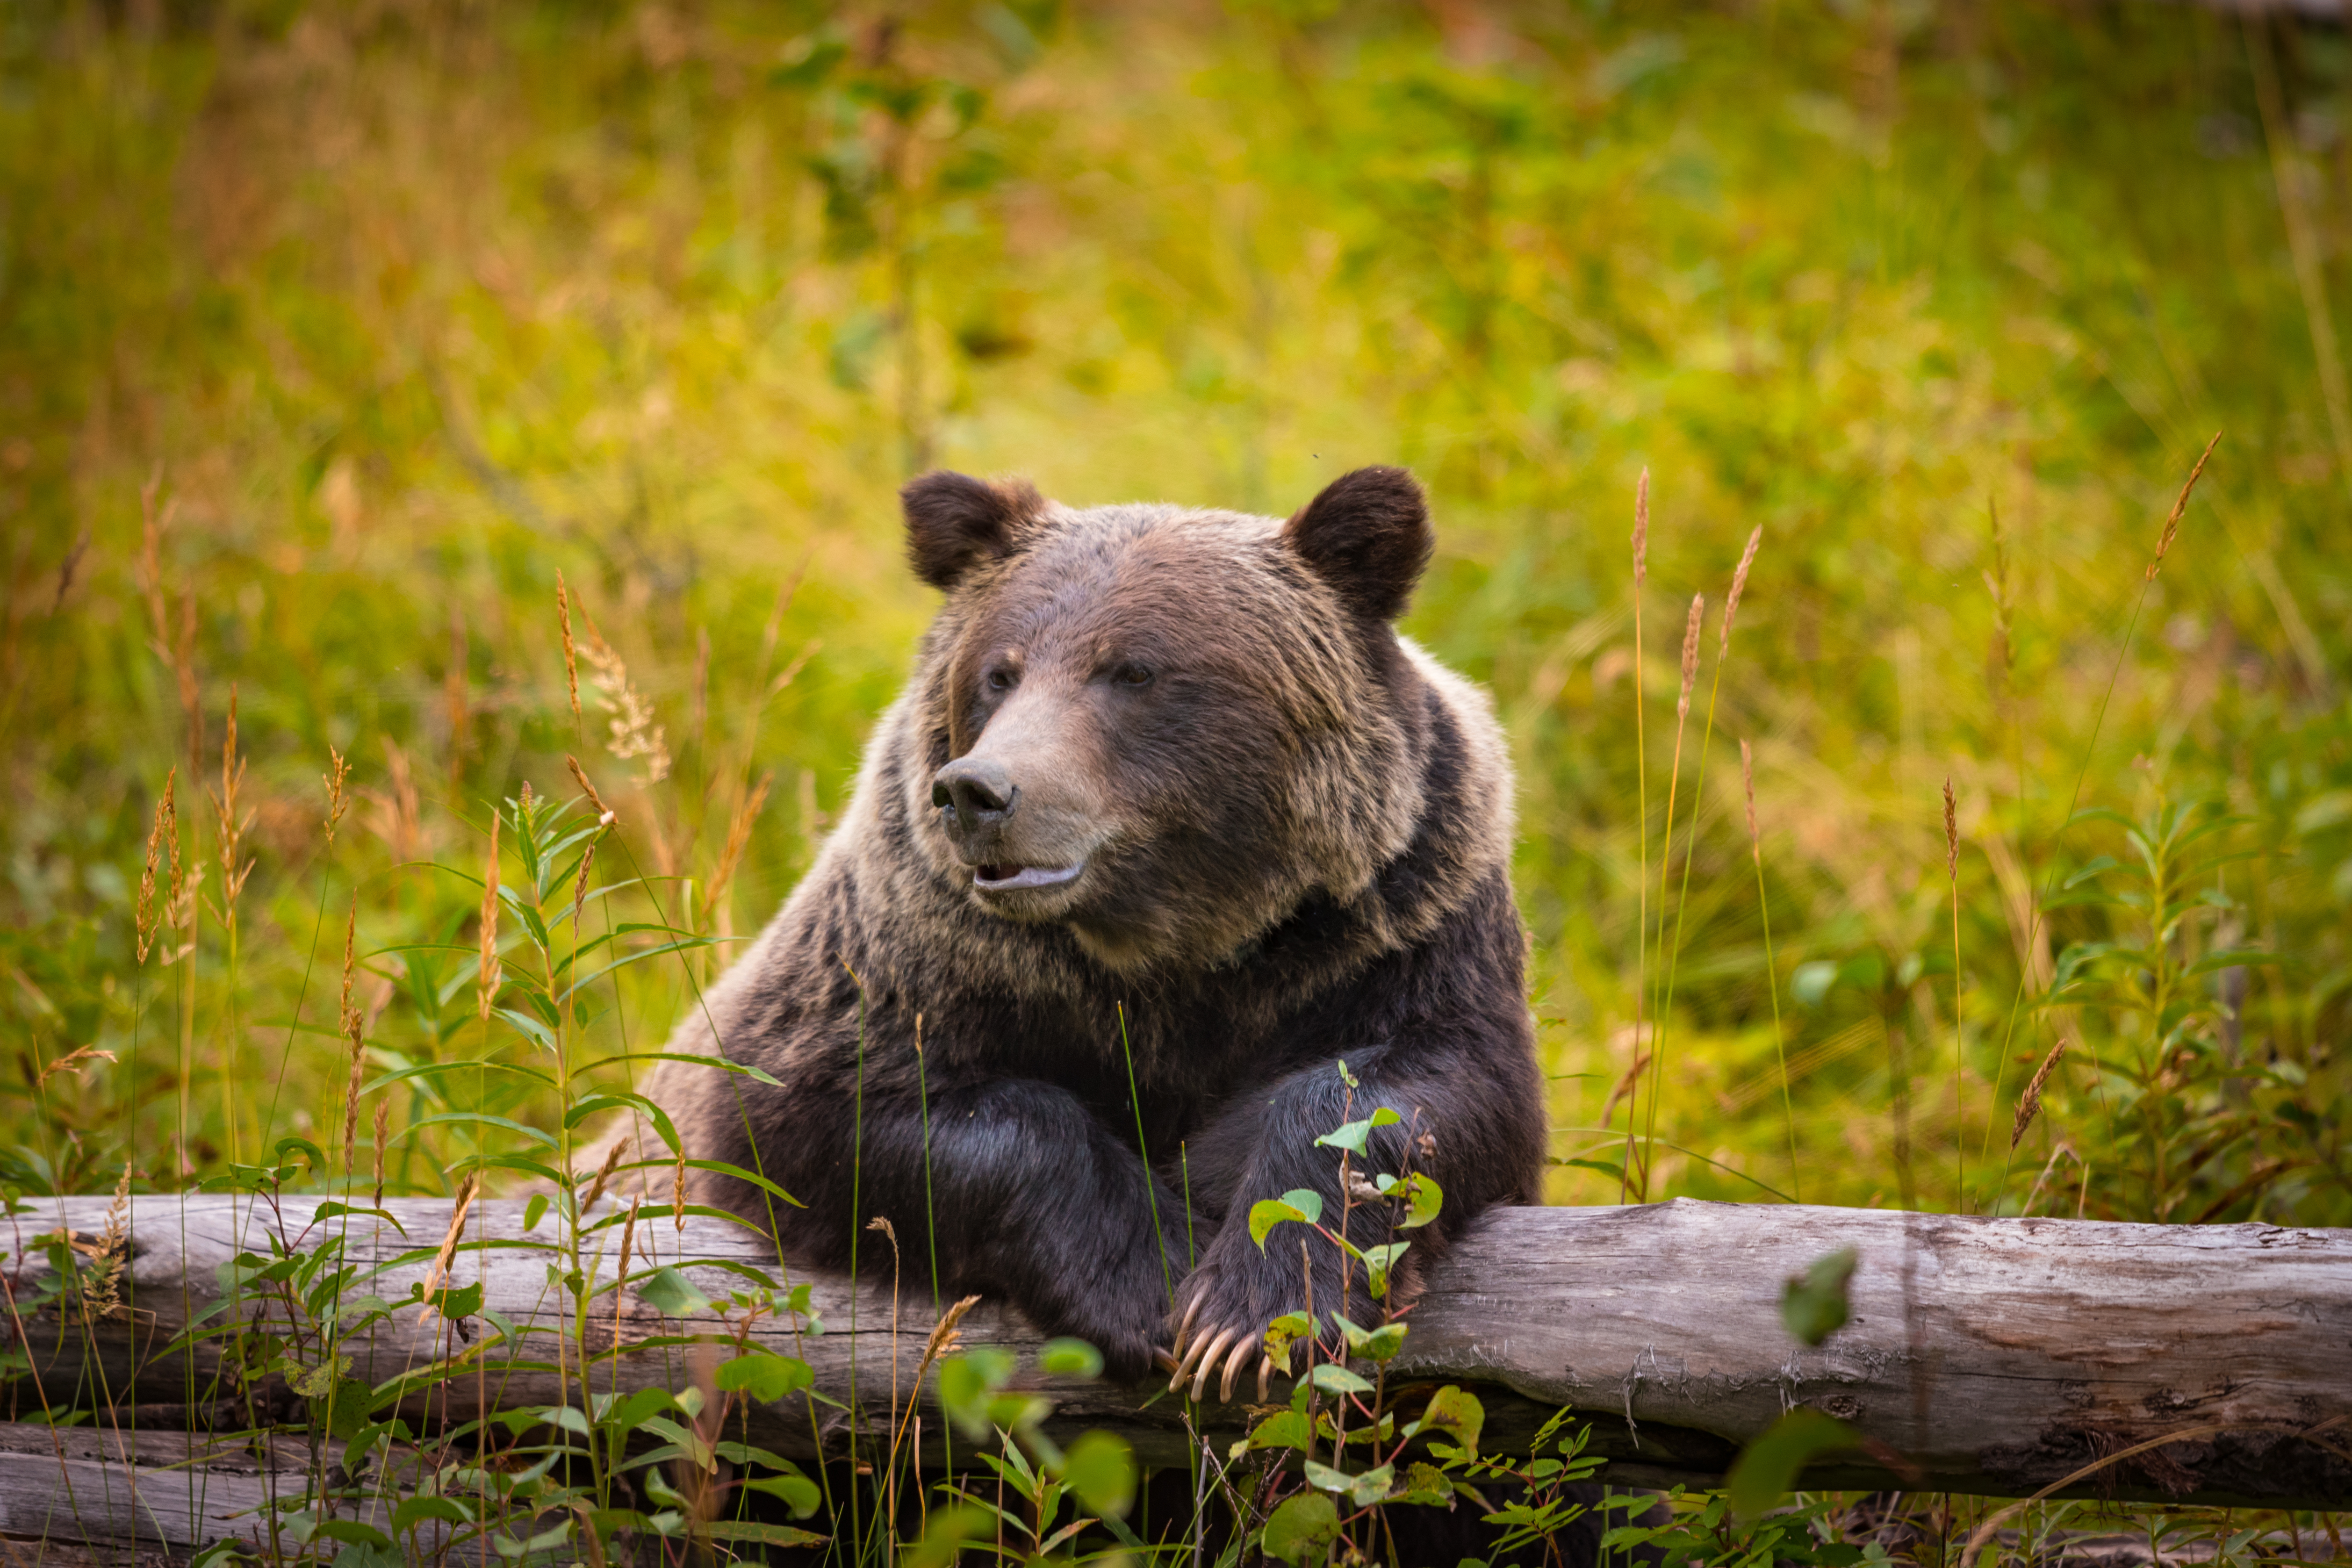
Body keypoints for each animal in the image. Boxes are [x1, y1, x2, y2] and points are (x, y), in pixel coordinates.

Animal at [631, 464, 1546, 1396]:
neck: (1168, 945)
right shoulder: (912, 959)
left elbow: (1417, 1089)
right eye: (999, 673)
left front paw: (1248, 1309)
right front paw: (1153, 1279)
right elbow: (830, 1104)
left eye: (1133, 669)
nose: (977, 791)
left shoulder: (1399, 929)